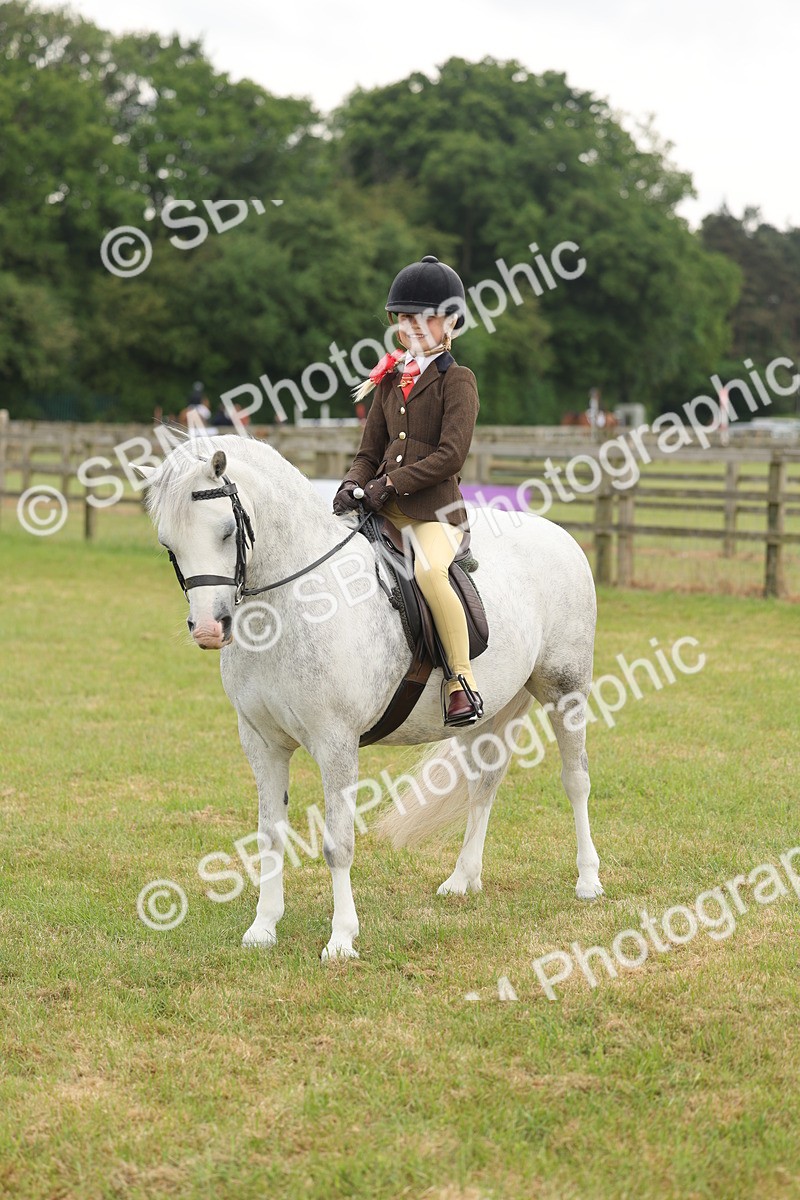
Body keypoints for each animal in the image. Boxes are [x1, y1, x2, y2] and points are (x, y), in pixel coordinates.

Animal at [139, 434, 603, 960]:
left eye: (224, 532)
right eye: (168, 544)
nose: (208, 630)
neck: (292, 603)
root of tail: (559, 535)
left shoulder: (336, 742)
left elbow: (337, 844)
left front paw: (341, 939)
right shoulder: (262, 743)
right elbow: (269, 836)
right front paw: (263, 927)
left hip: (565, 690)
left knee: (575, 780)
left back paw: (588, 881)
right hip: (481, 717)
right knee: (483, 785)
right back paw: (462, 880)